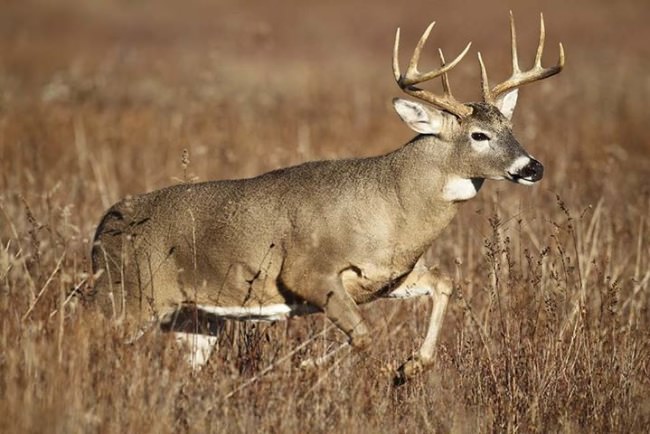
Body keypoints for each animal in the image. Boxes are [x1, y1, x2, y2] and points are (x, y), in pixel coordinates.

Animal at [90, 13, 564, 383]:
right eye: (478, 135)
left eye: (510, 127)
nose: (532, 167)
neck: (392, 207)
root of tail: (104, 225)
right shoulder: (307, 271)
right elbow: (363, 333)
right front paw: (311, 366)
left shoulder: (386, 277)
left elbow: (443, 282)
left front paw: (408, 367)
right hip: (130, 292)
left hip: (195, 319)